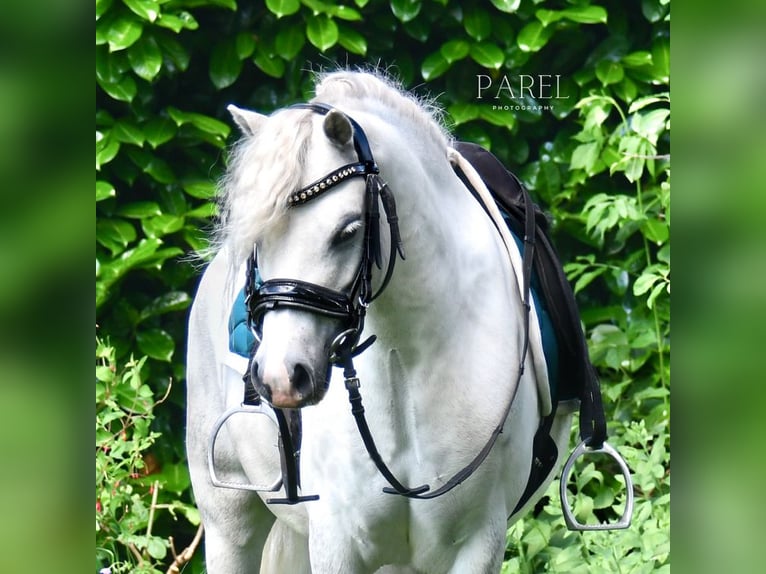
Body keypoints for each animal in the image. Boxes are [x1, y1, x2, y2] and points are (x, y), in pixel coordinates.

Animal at [188, 70, 584, 572]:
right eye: (256, 239)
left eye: (348, 231)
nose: (281, 377)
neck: (406, 358)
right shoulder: (336, 542)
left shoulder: (480, 542)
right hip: (229, 520)